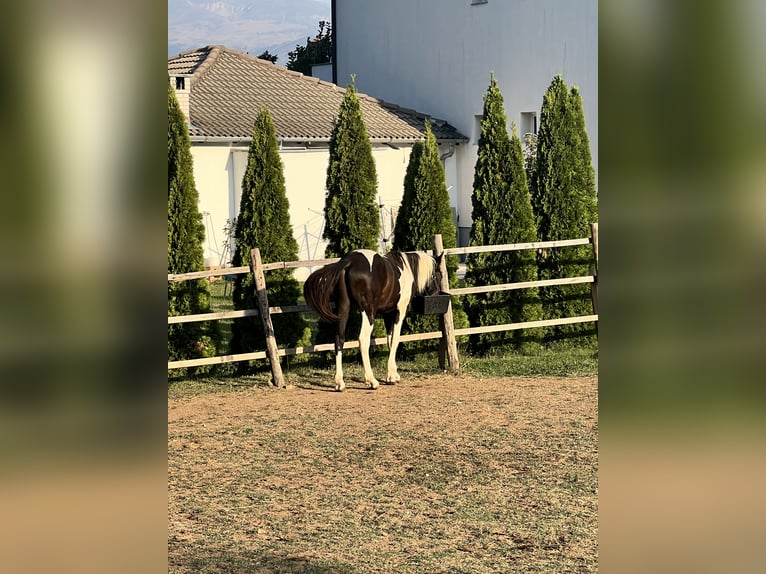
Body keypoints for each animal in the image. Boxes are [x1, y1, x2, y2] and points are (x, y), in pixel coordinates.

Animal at [304, 250, 440, 394]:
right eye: (437, 274)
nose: (436, 292)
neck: (407, 269)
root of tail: (349, 261)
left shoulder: (387, 314)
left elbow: (389, 340)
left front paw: (393, 373)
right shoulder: (400, 311)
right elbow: (395, 340)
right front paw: (391, 377)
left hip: (343, 308)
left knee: (339, 339)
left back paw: (340, 383)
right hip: (368, 311)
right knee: (363, 339)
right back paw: (371, 381)